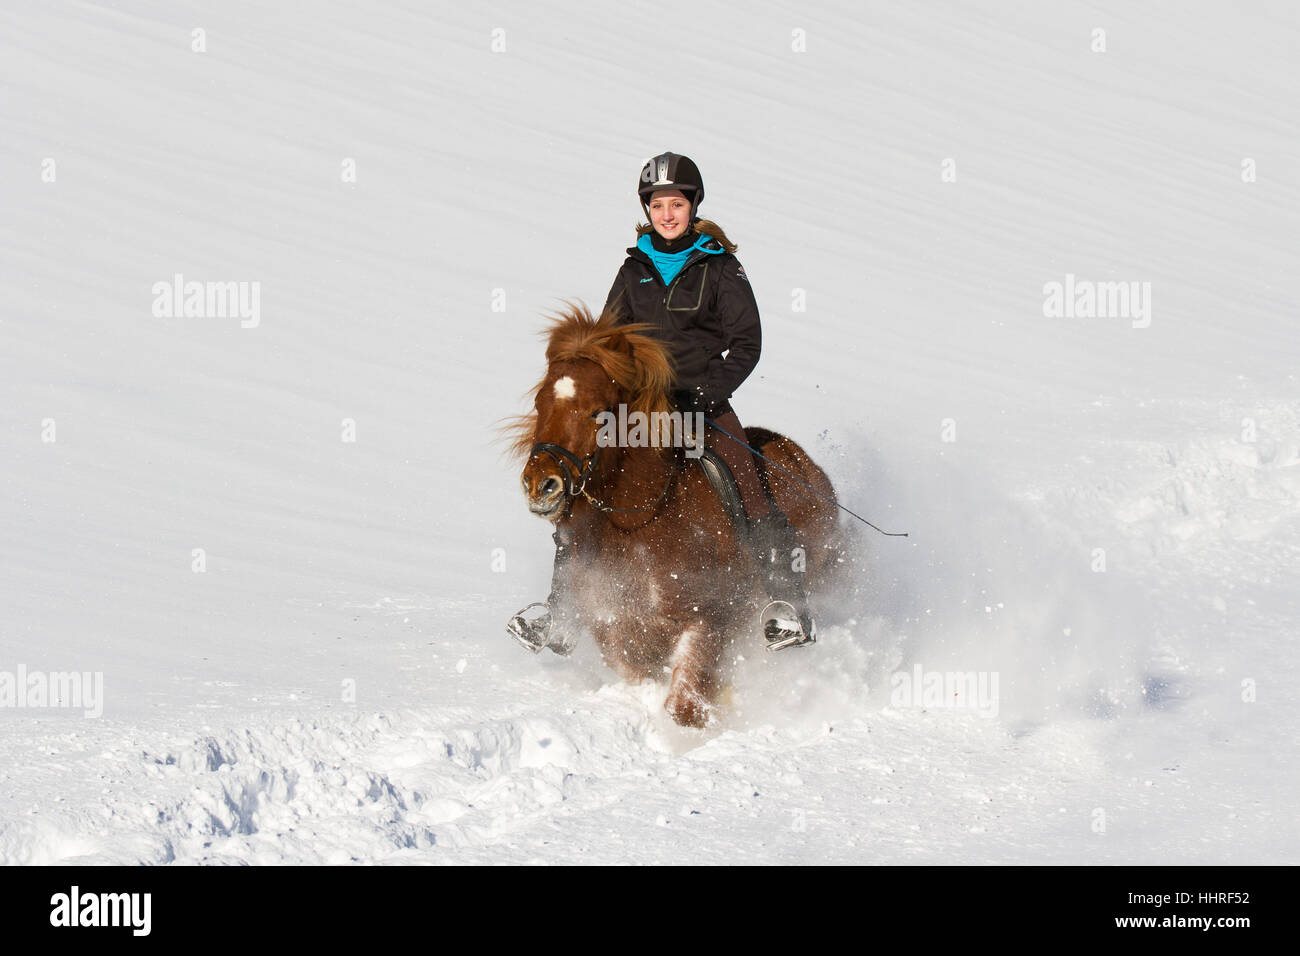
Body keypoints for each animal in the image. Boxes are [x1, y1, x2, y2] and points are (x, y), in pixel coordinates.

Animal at [501, 303, 837, 728]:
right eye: (540, 404)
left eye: (598, 412)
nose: (540, 485)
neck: (639, 523)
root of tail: (805, 464)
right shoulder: (619, 631)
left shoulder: (709, 621)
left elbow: (683, 706)